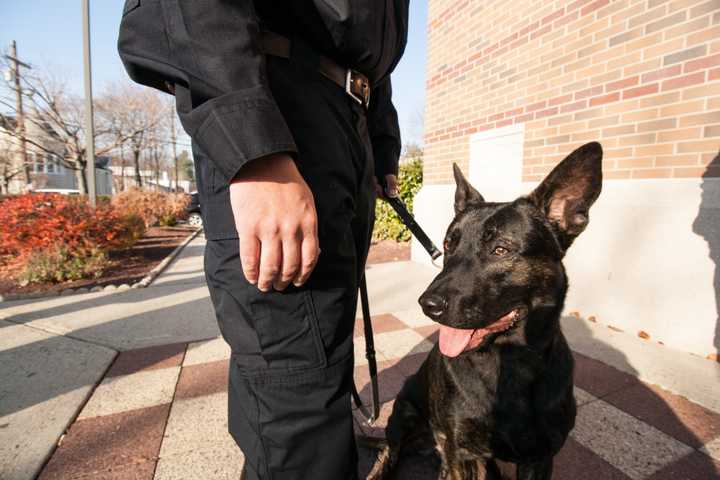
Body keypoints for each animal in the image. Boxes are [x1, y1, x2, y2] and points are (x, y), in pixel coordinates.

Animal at [366, 141, 600, 478]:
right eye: (448, 245)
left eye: (500, 250)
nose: (427, 305)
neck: (510, 363)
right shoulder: (465, 454)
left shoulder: (539, 457)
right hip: (404, 410)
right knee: (390, 450)